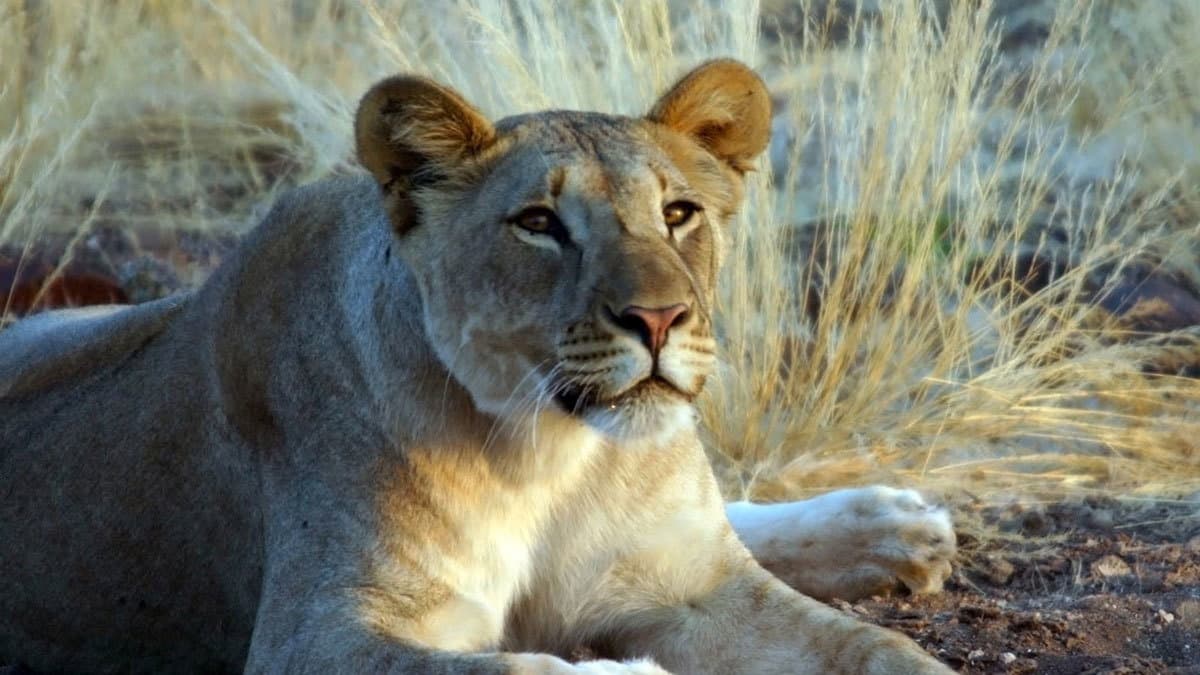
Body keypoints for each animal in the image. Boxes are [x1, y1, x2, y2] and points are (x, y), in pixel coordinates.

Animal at [0, 60, 955, 674]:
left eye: (679, 212)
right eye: (539, 223)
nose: (659, 318)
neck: (551, 454)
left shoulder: (695, 584)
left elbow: (876, 648)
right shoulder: (319, 633)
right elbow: (510, 666)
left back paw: (893, 525)